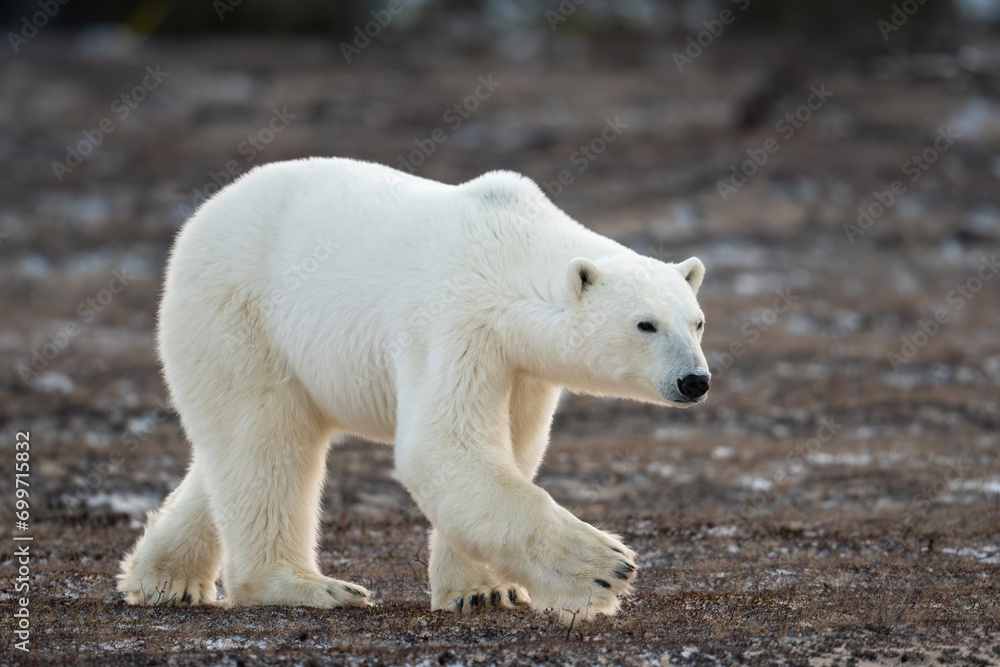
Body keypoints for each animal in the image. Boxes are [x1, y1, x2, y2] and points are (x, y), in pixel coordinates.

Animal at [119, 157, 712, 620]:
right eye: (645, 324)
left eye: (697, 321)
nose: (695, 380)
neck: (504, 249)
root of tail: (202, 218)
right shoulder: (454, 324)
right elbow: (444, 445)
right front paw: (604, 568)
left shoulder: (520, 366)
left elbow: (512, 446)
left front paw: (484, 592)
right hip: (242, 316)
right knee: (263, 440)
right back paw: (311, 586)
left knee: (234, 452)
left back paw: (164, 579)